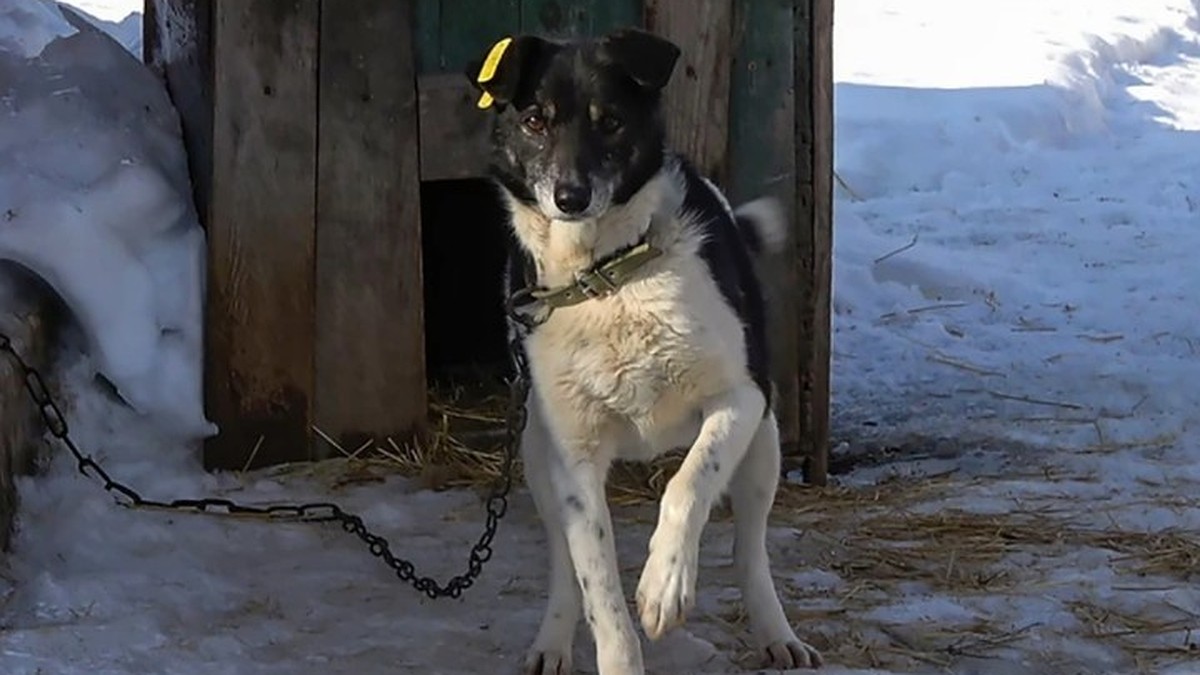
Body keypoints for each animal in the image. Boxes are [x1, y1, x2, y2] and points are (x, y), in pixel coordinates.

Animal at [463, 26, 820, 672]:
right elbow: (599, 589)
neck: (607, 276)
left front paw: (664, 585)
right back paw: (552, 640)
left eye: (610, 122)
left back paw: (775, 632)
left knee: (749, 548)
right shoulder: (574, 459)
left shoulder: (740, 398)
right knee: (565, 565)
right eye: (534, 120)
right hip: (535, 454)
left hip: (766, 446)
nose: (571, 196)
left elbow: (689, 484)